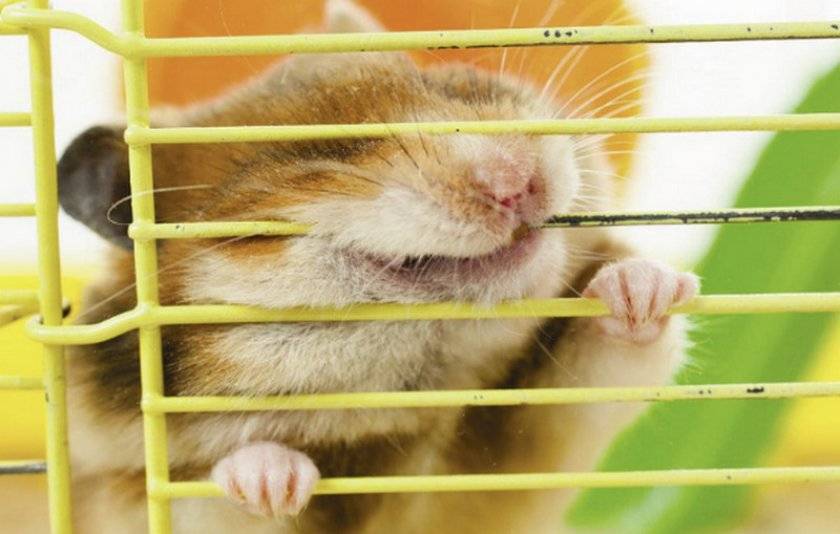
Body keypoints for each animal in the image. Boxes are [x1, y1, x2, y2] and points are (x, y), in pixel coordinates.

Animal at [57, 1, 698, 532]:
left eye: (443, 84)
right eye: (318, 151)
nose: (519, 184)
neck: (423, 401)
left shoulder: (531, 437)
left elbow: (600, 362)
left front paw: (643, 286)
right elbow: (222, 491)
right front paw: (270, 479)